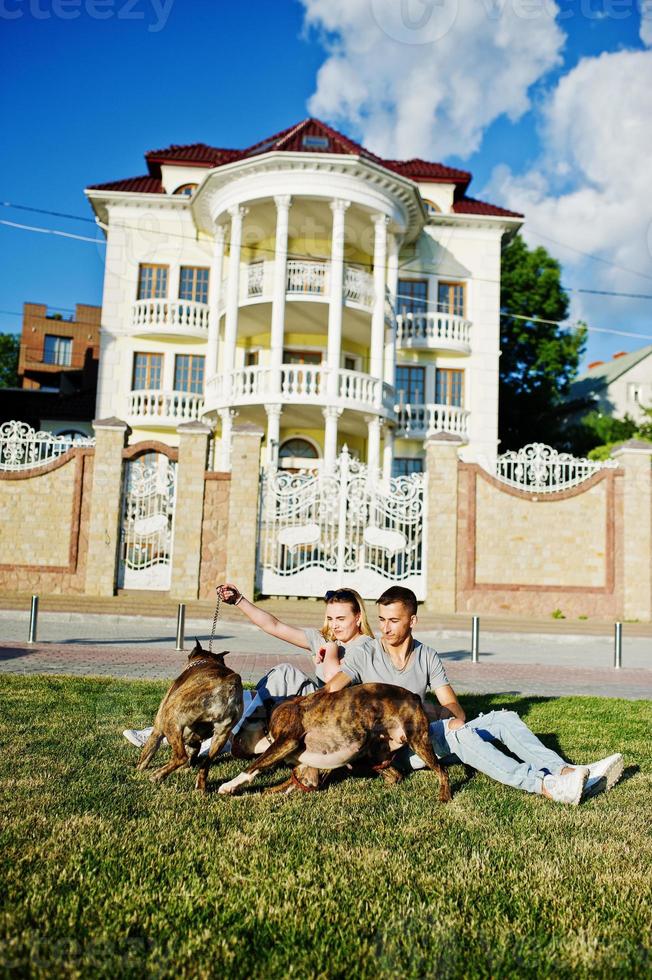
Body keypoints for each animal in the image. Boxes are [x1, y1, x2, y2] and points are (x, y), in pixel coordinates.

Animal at [136, 640, 243, 792]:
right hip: (221, 735)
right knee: (205, 763)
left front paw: (138, 770)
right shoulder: (195, 739)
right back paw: (200, 787)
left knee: (180, 756)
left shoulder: (157, 729)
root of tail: (229, 682)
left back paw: (157, 775)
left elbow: (147, 754)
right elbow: (194, 749)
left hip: (170, 719)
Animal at [216, 684, 450, 800]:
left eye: (240, 728)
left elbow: (253, 767)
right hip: (377, 753)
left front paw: (229, 786)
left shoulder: (286, 742)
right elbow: (284, 786)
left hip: (418, 741)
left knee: (443, 771)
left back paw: (444, 795)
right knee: (395, 775)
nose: (231, 741)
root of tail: (414, 697)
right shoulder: (307, 774)